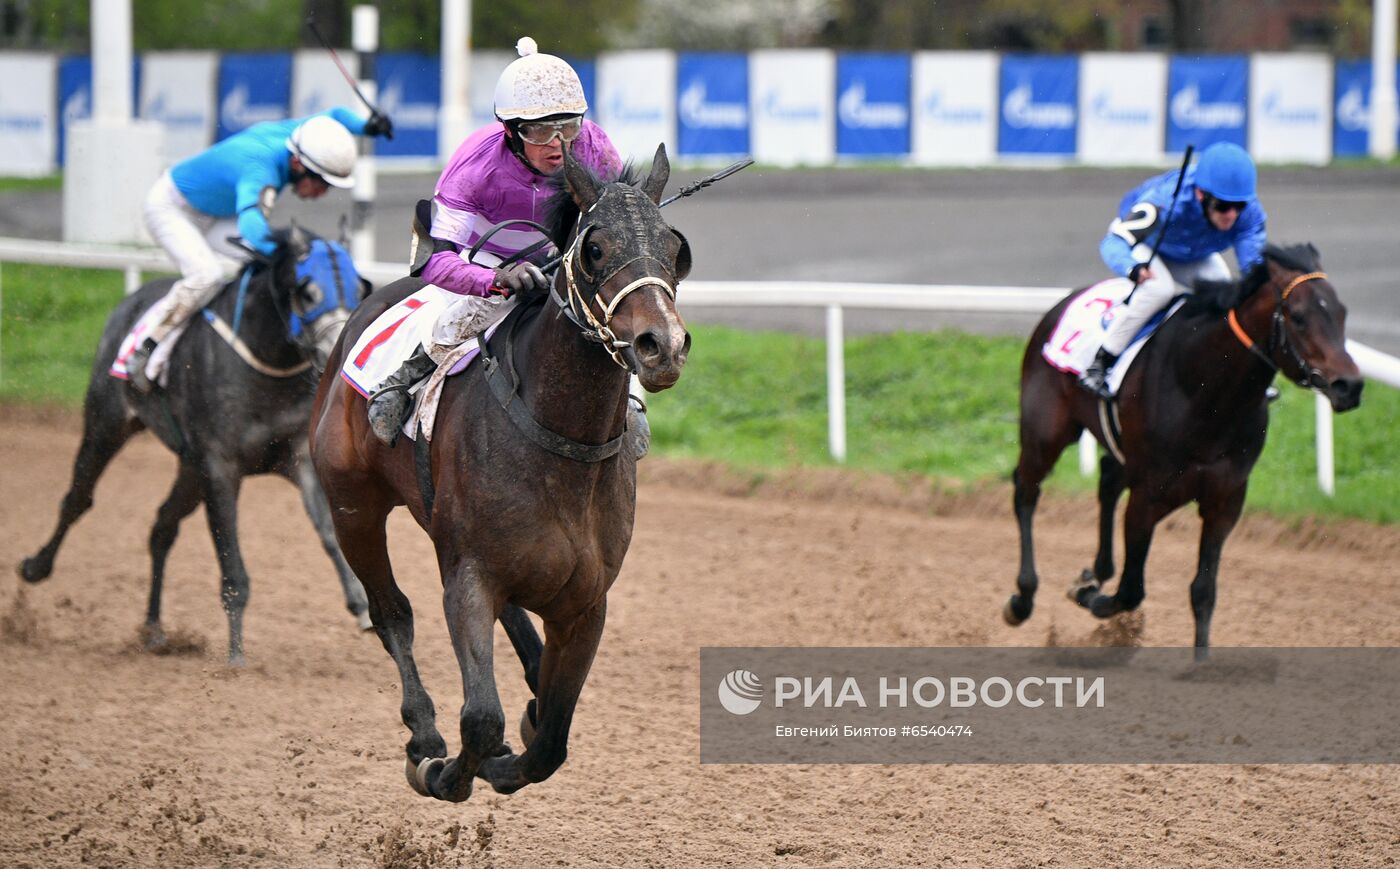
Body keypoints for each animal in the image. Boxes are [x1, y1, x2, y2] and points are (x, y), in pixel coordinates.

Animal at [19, 225, 369, 663]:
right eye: (307, 292)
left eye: (359, 289)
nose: (341, 347)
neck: (267, 366)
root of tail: (132, 300)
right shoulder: (219, 468)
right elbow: (232, 568)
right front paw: (235, 653)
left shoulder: (296, 457)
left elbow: (329, 532)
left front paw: (362, 605)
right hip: (106, 424)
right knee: (77, 499)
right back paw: (36, 567)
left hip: (189, 468)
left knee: (162, 526)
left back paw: (154, 628)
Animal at [312, 142, 694, 800]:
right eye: (595, 248)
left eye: (674, 248)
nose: (661, 346)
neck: (562, 445)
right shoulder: (469, 576)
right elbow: (482, 718)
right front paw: (446, 768)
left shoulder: (586, 602)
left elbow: (550, 743)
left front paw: (522, 735)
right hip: (352, 506)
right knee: (392, 615)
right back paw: (424, 733)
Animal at [1008, 243, 1366, 657]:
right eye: (1299, 316)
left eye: (1342, 312)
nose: (1349, 386)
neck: (1204, 389)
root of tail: (1062, 303)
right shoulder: (1148, 496)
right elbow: (1131, 590)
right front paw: (1089, 596)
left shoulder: (1225, 498)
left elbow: (1204, 590)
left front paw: (1201, 661)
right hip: (1046, 430)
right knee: (1026, 489)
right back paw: (1023, 598)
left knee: (1108, 478)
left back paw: (1096, 571)